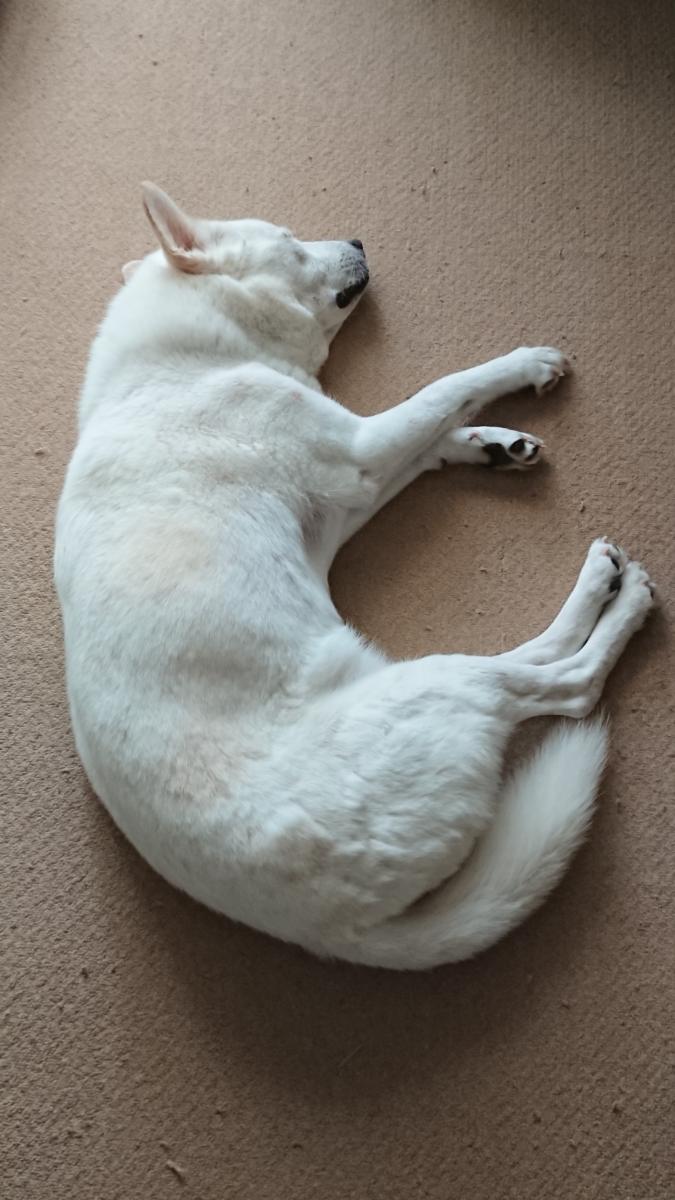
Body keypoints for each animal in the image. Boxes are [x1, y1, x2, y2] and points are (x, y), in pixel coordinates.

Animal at [54, 184, 654, 969]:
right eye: (289, 238)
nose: (361, 241)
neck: (185, 359)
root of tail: (341, 932)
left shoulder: (350, 494)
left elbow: (432, 435)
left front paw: (487, 444)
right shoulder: (361, 446)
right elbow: (446, 387)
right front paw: (522, 366)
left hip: (404, 671)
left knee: (535, 664)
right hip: (440, 687)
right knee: (566, 684)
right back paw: (616, 595)